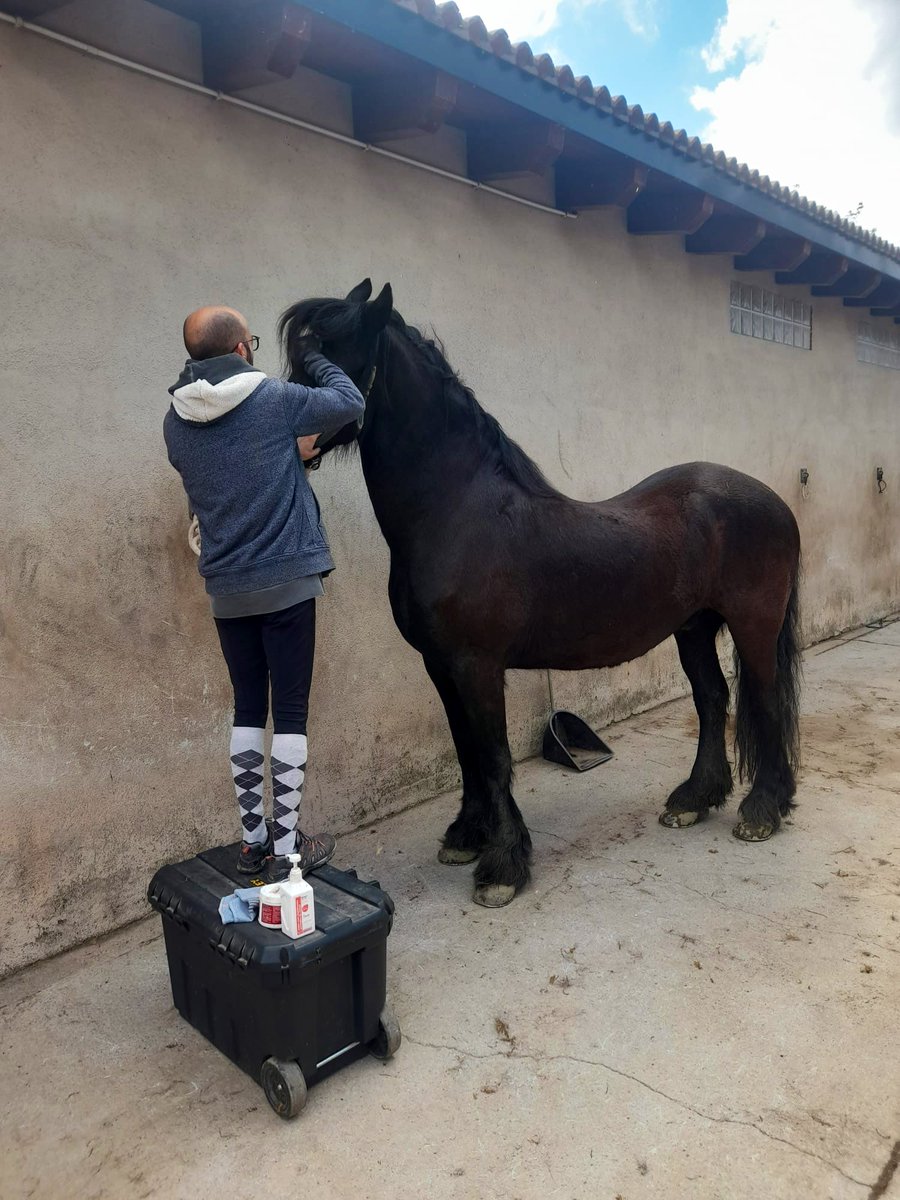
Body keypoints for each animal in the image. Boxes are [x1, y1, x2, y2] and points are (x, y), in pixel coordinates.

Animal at [282, 280, 801, 907]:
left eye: (328, 356)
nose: (286, 440)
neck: (456, 512)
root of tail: (775, 503)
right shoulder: (441, 665)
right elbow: (467, 753)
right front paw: (467, 836)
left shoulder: (477, 665)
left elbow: (494, 756)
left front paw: (503, 866)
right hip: (693, 627)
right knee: (711, 700)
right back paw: (693, 800)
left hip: (753, 626)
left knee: (765, 703)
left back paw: (762, 811)